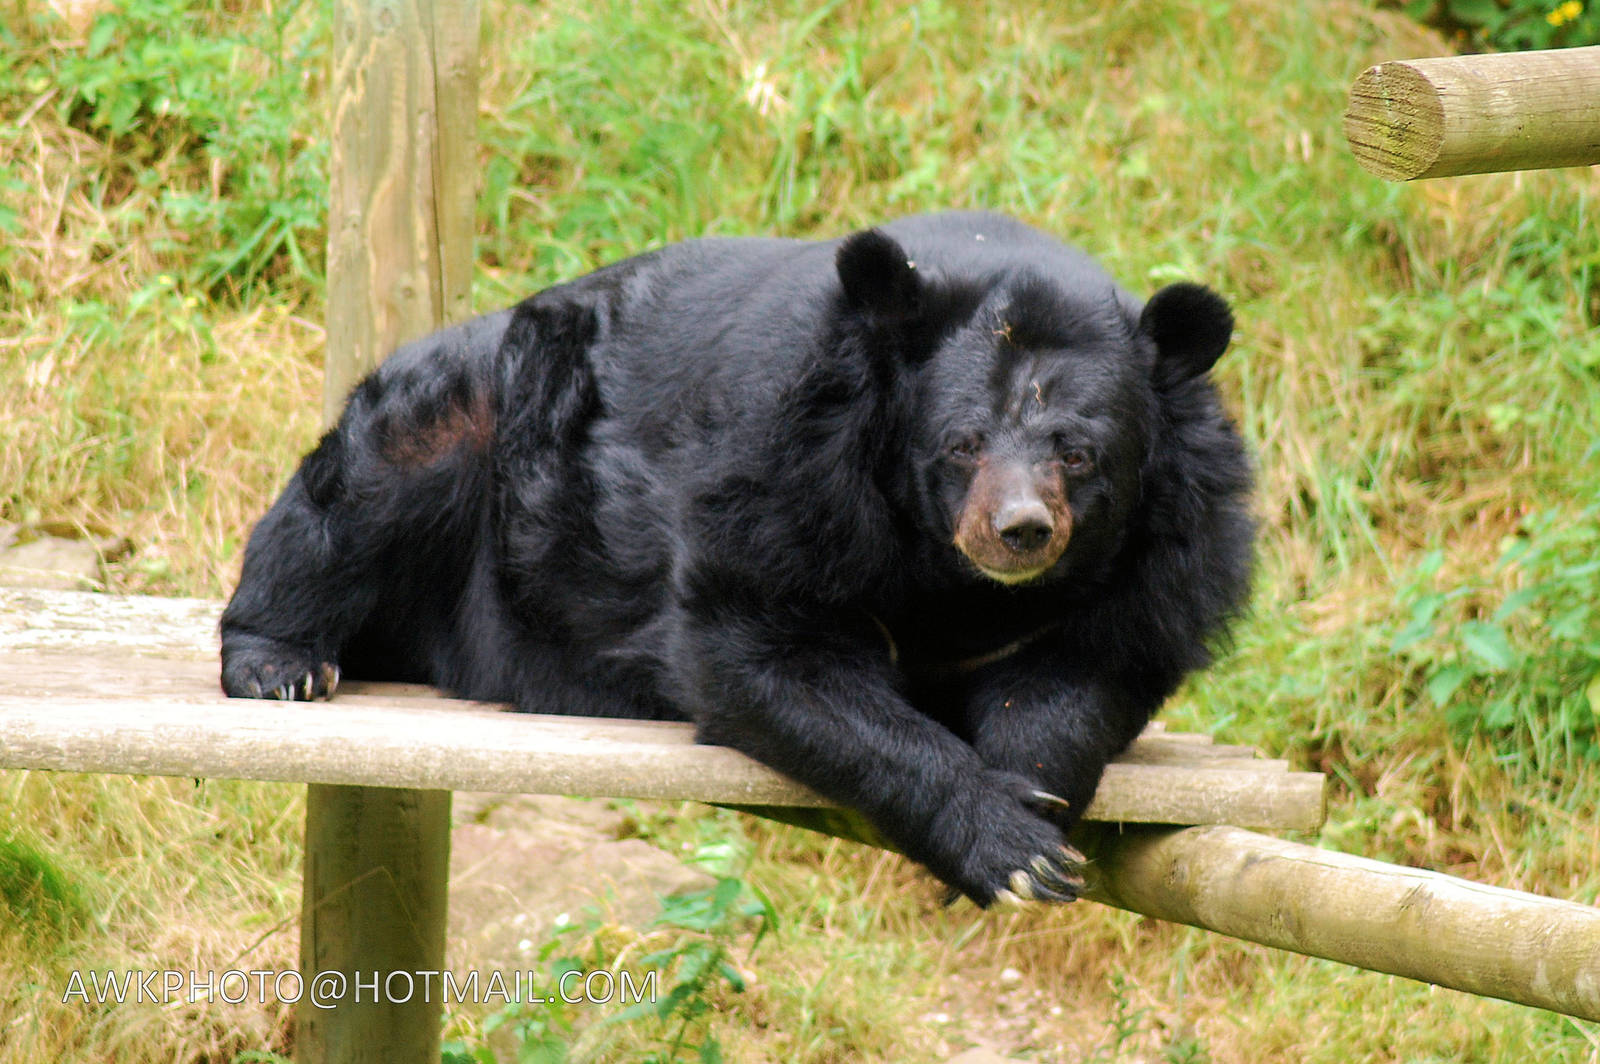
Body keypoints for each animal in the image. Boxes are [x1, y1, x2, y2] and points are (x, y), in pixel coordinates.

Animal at [220, 210, 1253, 907]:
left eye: (1079, 453)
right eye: (962, 444)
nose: (1021, 531)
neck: (956, 580)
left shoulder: (1169, 550)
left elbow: (1090, 664)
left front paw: (1031, 795)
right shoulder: (785, 464)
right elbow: (761, 647)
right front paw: (1008, 846)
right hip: (480, 419)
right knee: (361, 486)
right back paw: (283, 662)